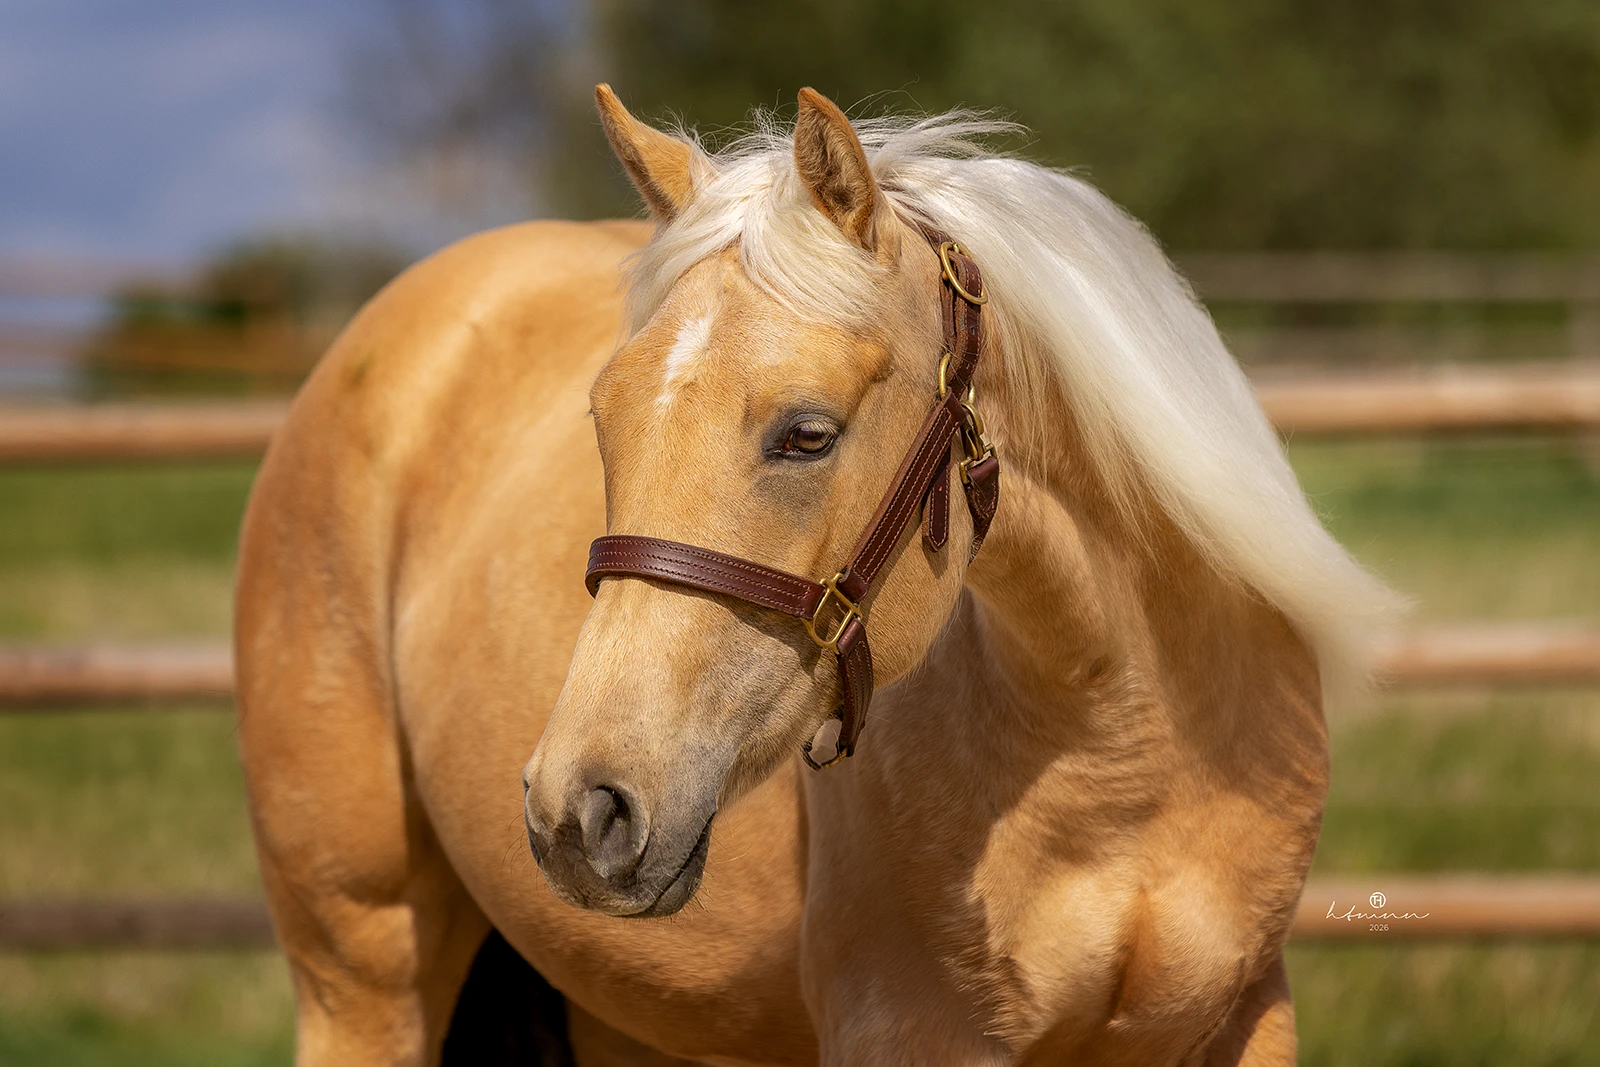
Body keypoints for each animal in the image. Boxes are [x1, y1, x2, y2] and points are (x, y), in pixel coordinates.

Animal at [235, 85, 1398, 1065]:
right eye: (602, 421)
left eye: (806, 434)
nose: (581, 811)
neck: (1128, 754)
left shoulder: (1243, 1017)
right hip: (361, 976)